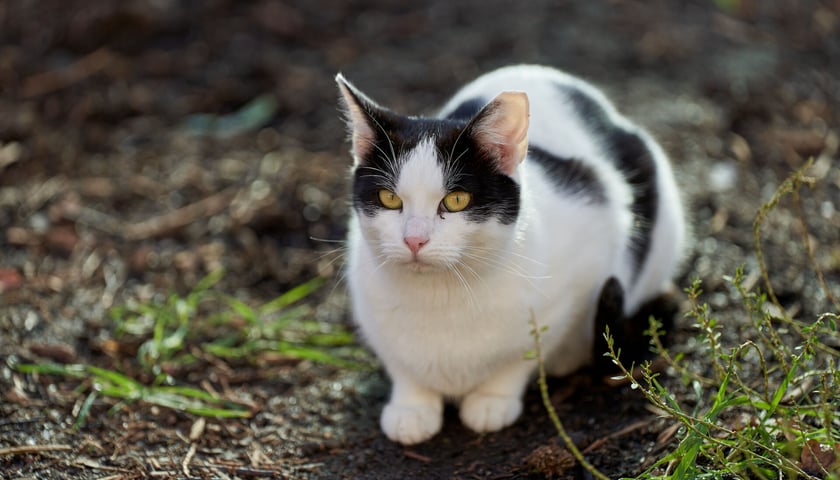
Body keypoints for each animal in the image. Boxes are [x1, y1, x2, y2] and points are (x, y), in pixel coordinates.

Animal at [334, 64, 684, 446]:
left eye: (456, 200)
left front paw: (492, 398)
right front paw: (412, 405)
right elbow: (400, 361)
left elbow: (524, 353)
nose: (414, 239)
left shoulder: (586, 257)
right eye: (389, 198)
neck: (442, 294)